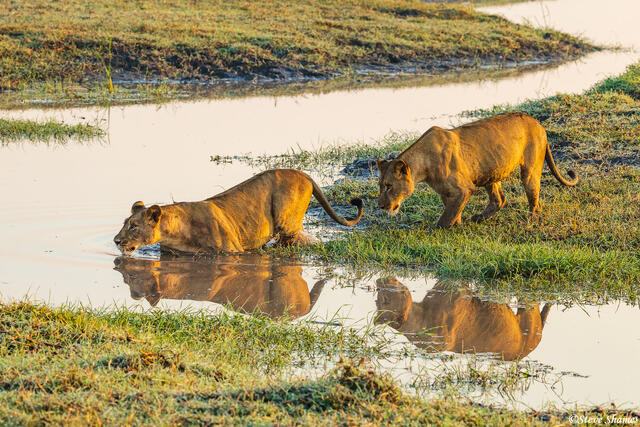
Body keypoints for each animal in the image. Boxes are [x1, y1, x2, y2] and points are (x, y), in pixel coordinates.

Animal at [113, 169, 363, 255]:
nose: (116, 241)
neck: (175, 233)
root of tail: (303, 174)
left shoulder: (231, 252)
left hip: (287, 224)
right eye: (124, 223)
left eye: (133, 226)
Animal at [377, 113, 577, 228]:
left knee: (534, 200)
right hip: (491, 171)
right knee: (499, 200)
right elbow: (453, 211)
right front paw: (458, 225)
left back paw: (531, 223)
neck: (423, 165)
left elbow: (446, 217)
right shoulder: (447, 192)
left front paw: (437, 230)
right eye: (380, 186)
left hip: (530, 169)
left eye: (388, 186)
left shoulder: (463, 189)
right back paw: (478, 218)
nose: (380, 206)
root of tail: (537, 122)